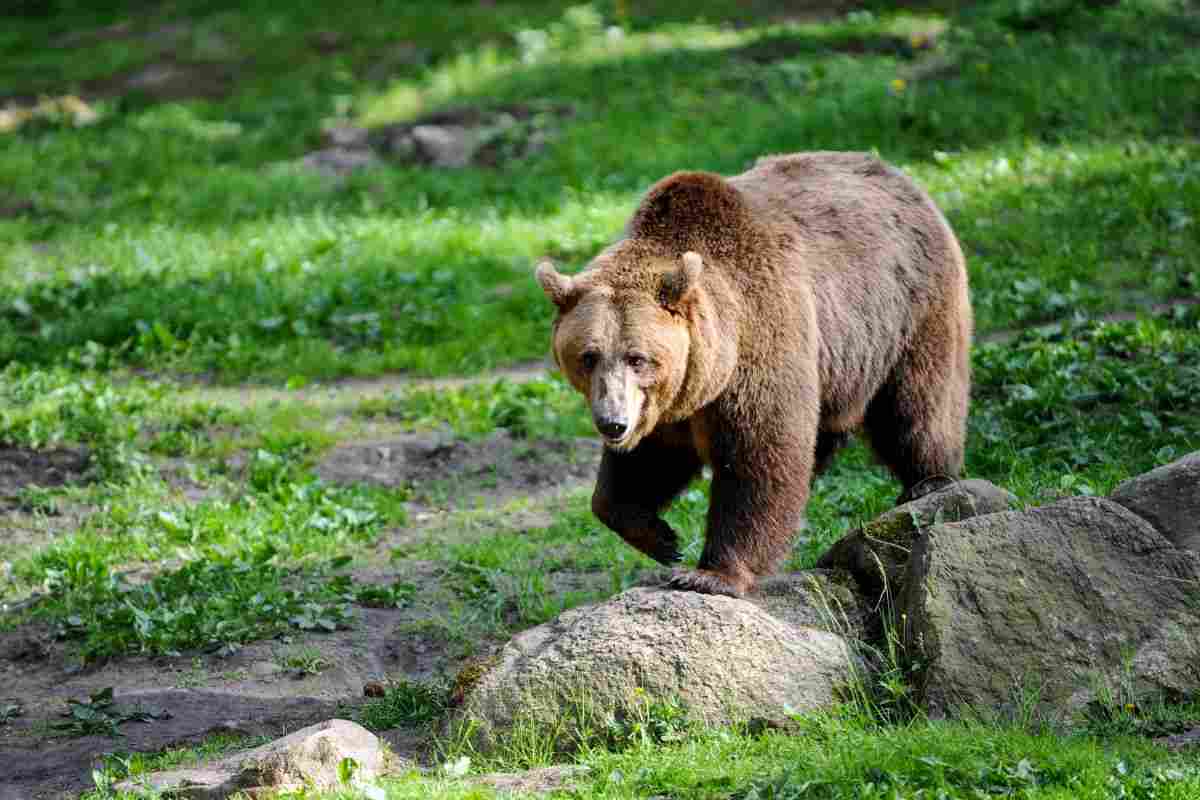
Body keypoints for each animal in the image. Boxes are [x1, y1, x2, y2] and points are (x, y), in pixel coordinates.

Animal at [536, 151, 972, 597]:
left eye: (637, 357)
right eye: (588, 356)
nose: (612, 423)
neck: (712, 367)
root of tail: (900, 176)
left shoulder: (759, 344)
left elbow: (759, 458)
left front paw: (709, 573)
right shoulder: (667, 405)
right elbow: (644, 465)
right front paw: (661, 538)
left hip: (908, 312)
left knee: (916, 408)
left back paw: (930, 481)